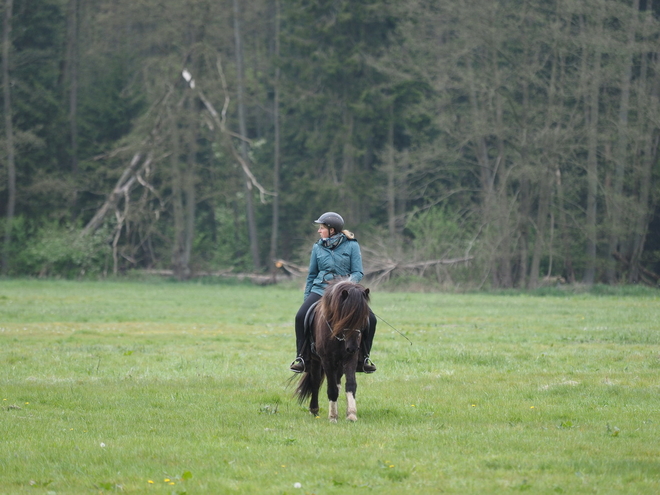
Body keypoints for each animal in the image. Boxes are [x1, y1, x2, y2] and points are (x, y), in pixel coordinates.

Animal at [294, 280, 372, 422]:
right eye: (345, 316)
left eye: (364, 318)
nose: (352, 348)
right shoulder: (327, 360)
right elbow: (331, 388)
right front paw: (333, 417)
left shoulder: (350, 358)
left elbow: (350, 384)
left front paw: (351, 414)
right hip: (315, 360)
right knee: (315, 381)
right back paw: (314, 409)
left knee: (338, 381)